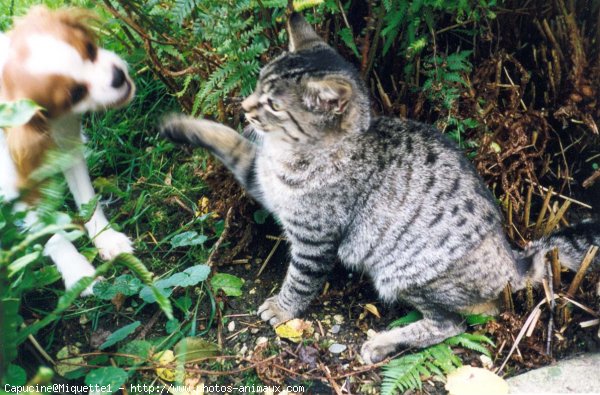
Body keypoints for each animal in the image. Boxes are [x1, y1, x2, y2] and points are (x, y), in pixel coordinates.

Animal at [0, 6, 135, 296]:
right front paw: (79, 274)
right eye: (75, 94)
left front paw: (106, 237)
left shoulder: (68, 147)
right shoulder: (17, 188)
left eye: (90, 49)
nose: (118, 76)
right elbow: (50, 235)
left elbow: (87, 200)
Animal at [161, 12, 600, 366]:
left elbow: (302, 278)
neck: (288, 153)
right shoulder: (258, 174)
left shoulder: (314, 238)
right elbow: (226, 138)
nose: (245, 106)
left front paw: (284, 309)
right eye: (256, 87)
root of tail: (514, 259)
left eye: (273, 105)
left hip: (404, 271)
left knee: (457, 322)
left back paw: (383, 343)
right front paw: (180, 124)